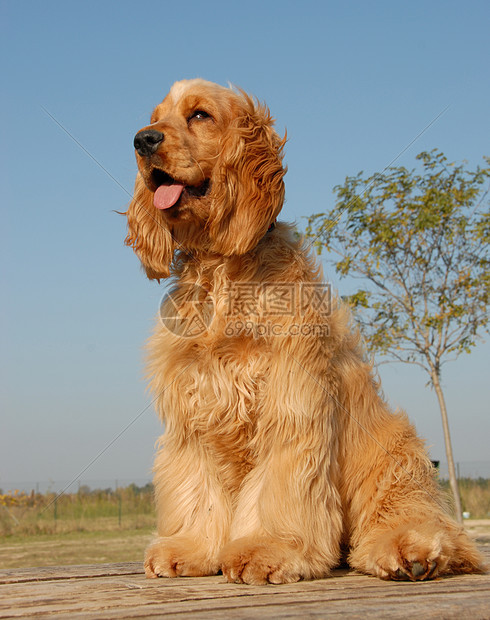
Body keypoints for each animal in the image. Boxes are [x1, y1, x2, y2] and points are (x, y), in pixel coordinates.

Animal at [125, 78, 482, 588]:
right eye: (155, 117)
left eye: (199, 115)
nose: (142, 140)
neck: (221, 273)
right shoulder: (193, 410)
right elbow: (197, 485)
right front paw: (192, 548)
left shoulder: (289, 401)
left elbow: (278, 487)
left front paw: (267, 549)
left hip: (394, 458)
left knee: (424, 523)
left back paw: (411, 553)